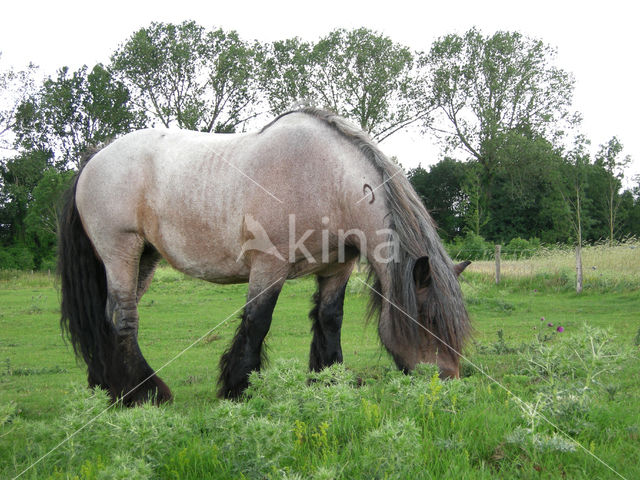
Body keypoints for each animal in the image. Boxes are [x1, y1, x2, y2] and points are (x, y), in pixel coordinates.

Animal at [58, 107, 470, 404]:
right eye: (430, 319)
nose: (449, 382)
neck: (326, 179)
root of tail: (93, 159)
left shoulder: (338, 267)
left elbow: (330, 319)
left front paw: (328, 380)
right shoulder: (269, 264)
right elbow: (257, 321)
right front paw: (239, 387)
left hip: (143, 259)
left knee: (107, 318)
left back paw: (106, 385)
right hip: (121, 252)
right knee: (123, 319)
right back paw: (143, 393)